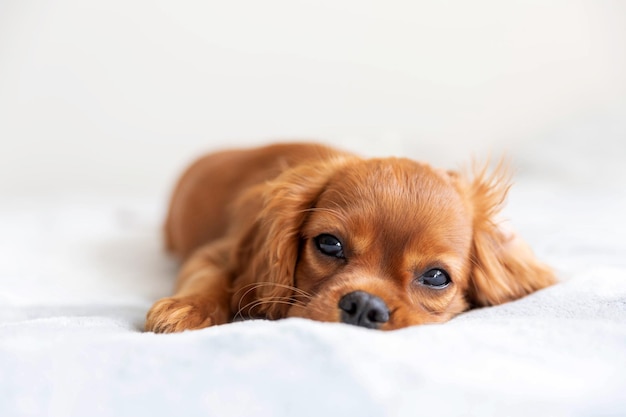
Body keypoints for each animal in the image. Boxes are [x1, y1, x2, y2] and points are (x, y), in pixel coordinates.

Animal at [144, 143, 552, 332]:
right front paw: (186, 308)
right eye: (329, 244)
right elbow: (208, 278)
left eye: (436, 277)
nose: (364, 305)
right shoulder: (216, 253)